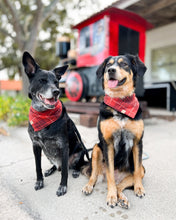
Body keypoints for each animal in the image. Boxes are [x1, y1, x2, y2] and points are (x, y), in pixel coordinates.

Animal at [22, 51, 89, 196]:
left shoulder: (63, 145)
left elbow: (64, 171)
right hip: (47, 154)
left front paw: (62, 186)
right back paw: (51, 169)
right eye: (42, 80)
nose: (57, 92)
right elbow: (37, 167)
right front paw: (39, 181)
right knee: (56, 165)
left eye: (56, 82)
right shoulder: (36, 145)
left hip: (80, 150)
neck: (43, 114)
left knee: (77, 164)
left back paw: (75, 170)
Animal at [82, 54, 147, 208]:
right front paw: (111, 197)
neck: (121, 105)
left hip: (142, 169)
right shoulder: (108, 143)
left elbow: (136, 172)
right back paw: (89, 187)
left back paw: (123, 199)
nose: (110, 70)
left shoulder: (137, 142)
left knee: (120, 185)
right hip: (96, 148)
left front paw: (139, 188)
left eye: (124, 64)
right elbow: (110, 173)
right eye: (108, 65)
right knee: (94, 175)